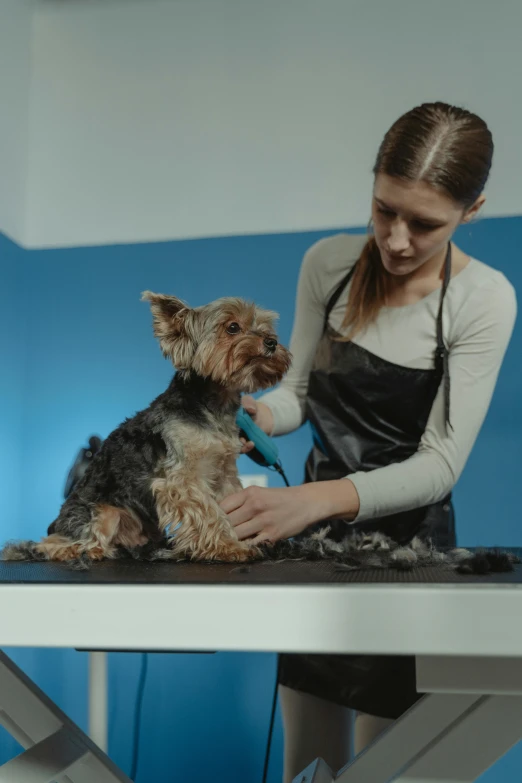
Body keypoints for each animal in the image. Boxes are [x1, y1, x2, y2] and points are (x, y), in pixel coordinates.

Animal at [3, 290, 288, 568]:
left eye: (266, 327)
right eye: (233, 327)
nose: (272, 342)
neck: (214, 406)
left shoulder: (224, 473)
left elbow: (228, 508)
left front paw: (245, 540)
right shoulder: (182, 480)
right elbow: (209, 513)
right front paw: (228, 547)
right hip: (103, 512)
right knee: (52, 542)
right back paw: (77, 550)